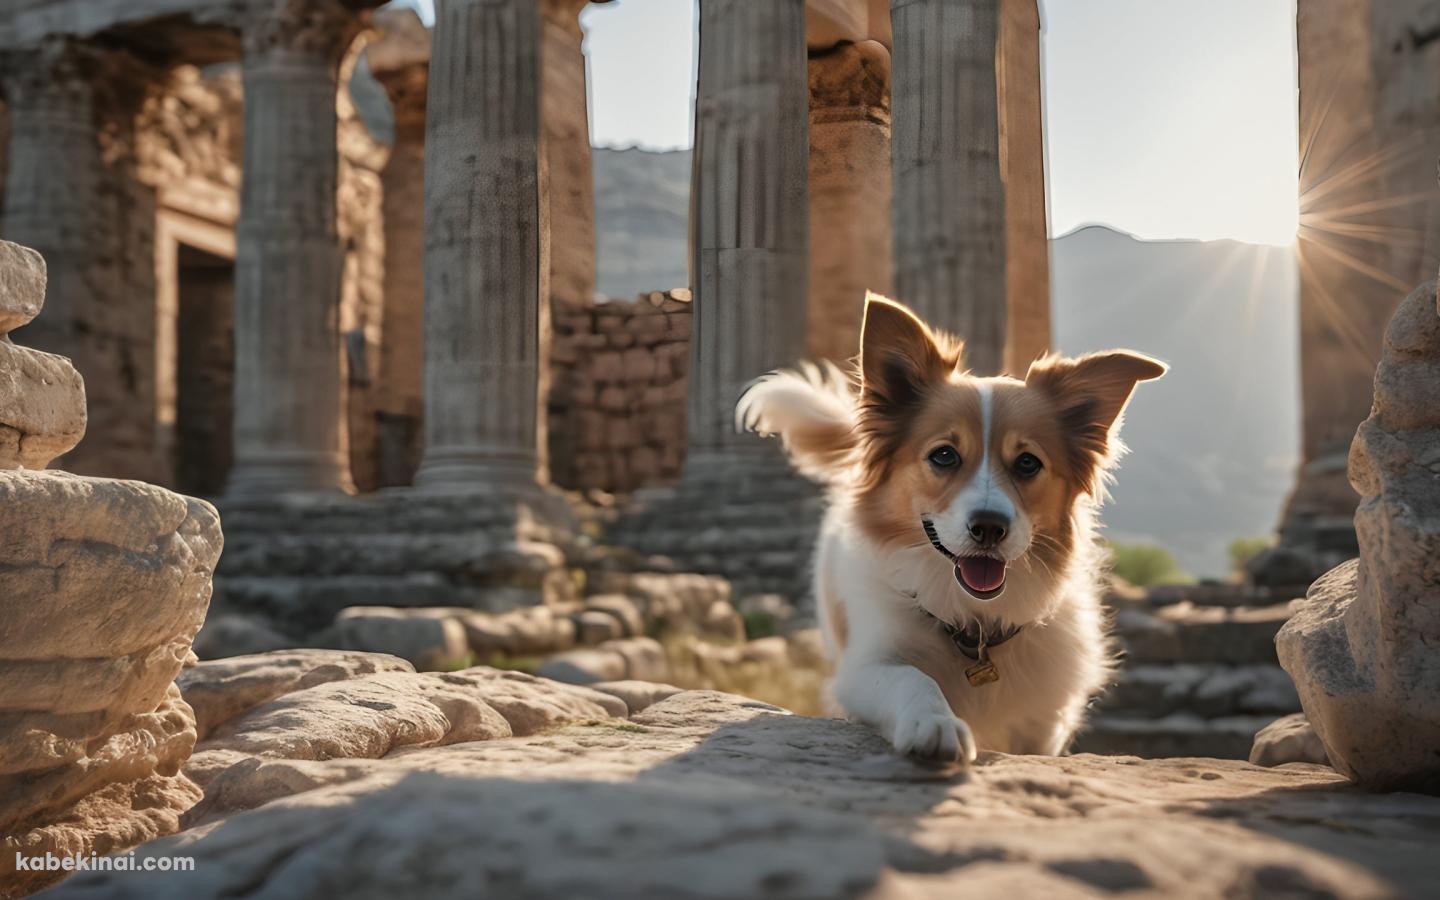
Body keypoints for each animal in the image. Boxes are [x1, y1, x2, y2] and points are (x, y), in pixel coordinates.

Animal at [737, 290, 1163, 760]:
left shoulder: (1042, 727)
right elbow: (911, 677)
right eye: (944, 455)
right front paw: (935, 723)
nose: (989, 527)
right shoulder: (862, 669)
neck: (974, 630)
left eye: (1028, 462)